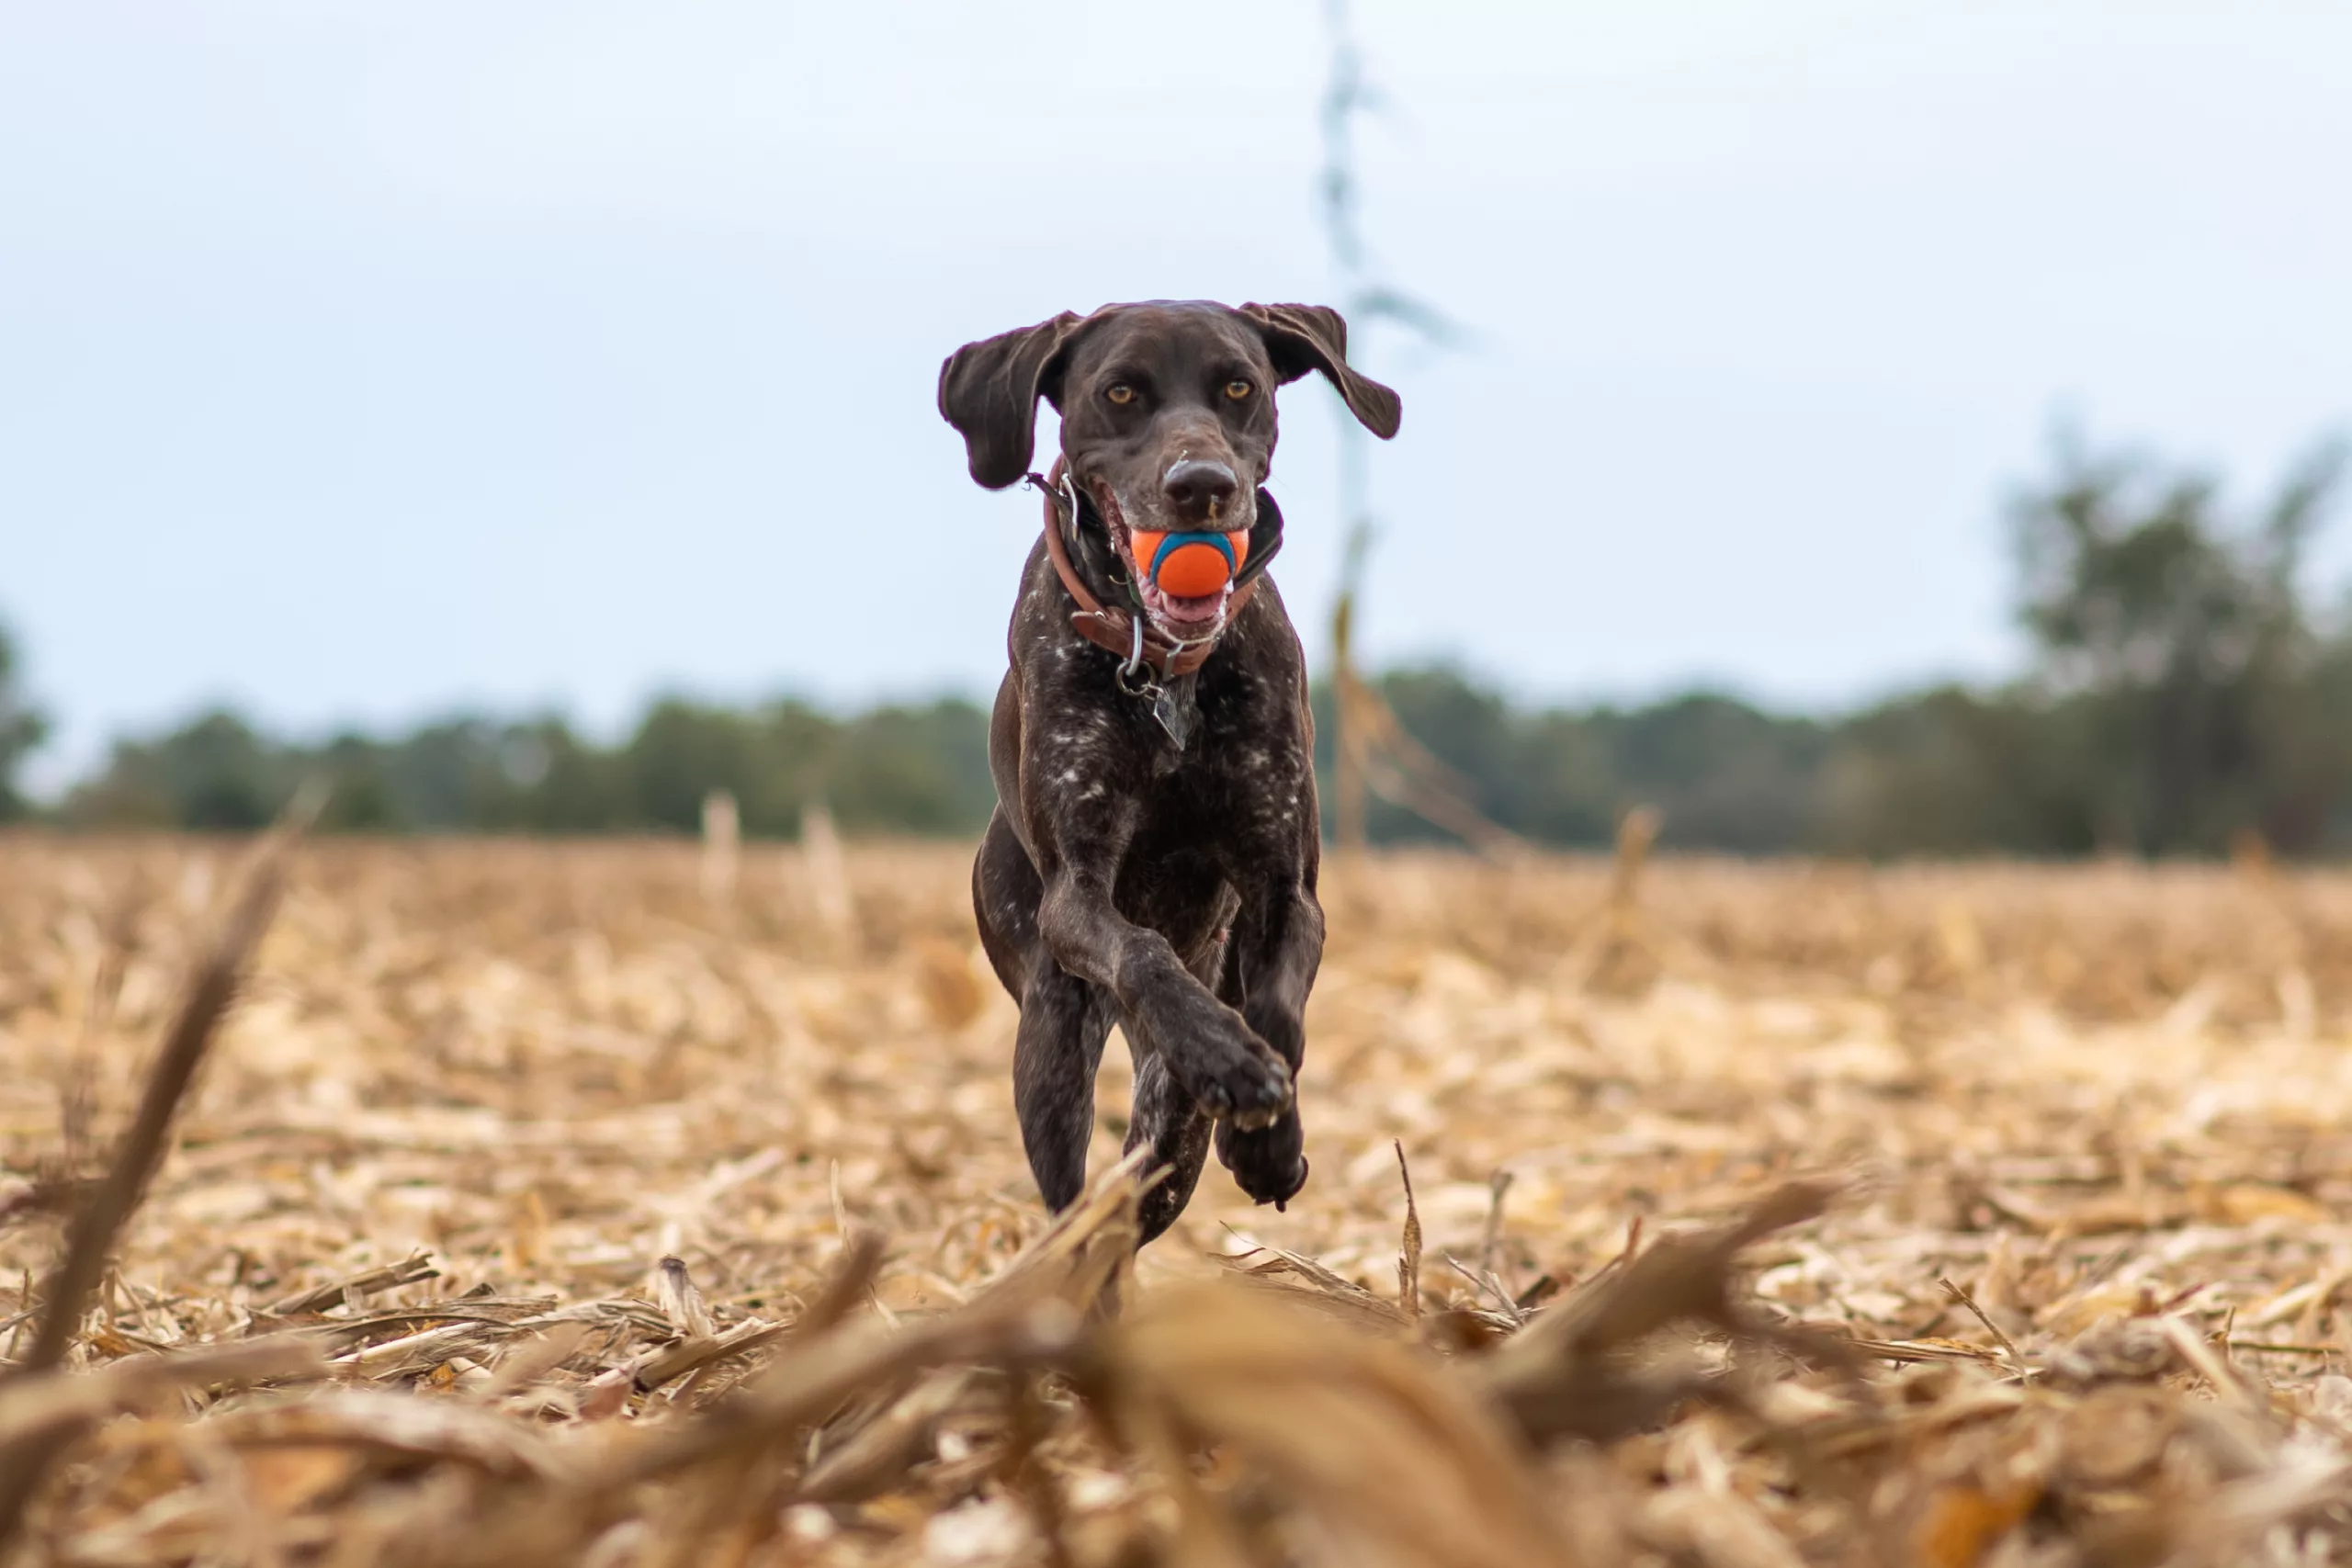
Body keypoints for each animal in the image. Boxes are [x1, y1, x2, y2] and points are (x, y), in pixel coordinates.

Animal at [935, 300, 1401, 1241]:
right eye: (1120, 392)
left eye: (1239, 387)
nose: (1201, 485)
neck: (1166, 669)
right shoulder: (1077, 895)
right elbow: (1143, 952)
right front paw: (1223, 1055)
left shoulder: (1284, 886)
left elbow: (1277, 1008)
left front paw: (1266, 1134)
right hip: (1050, 1031)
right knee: (1075, 1195)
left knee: (1156, 1151)